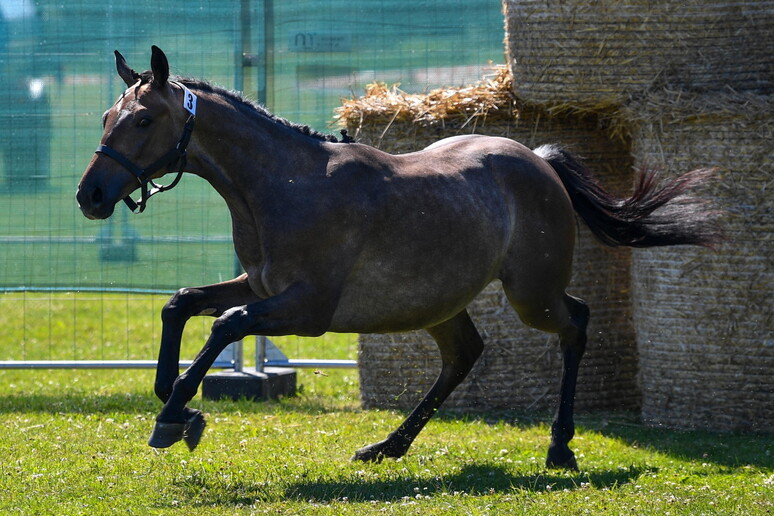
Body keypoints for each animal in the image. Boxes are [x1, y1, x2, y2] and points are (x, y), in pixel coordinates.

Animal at [76, 46, 721, 469]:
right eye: (106, 117)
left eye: (143, 118)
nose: (91, 196)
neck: (283, 186)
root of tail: (538, 159)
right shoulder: (261, 287)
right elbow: (181, 304)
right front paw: (174, 399)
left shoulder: (308, 308)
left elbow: (225, 325)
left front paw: (175, 415)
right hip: (439, 304)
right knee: (464, 355)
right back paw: (389, 445)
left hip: (530, 294)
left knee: (576, 322)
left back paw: (560, 447)